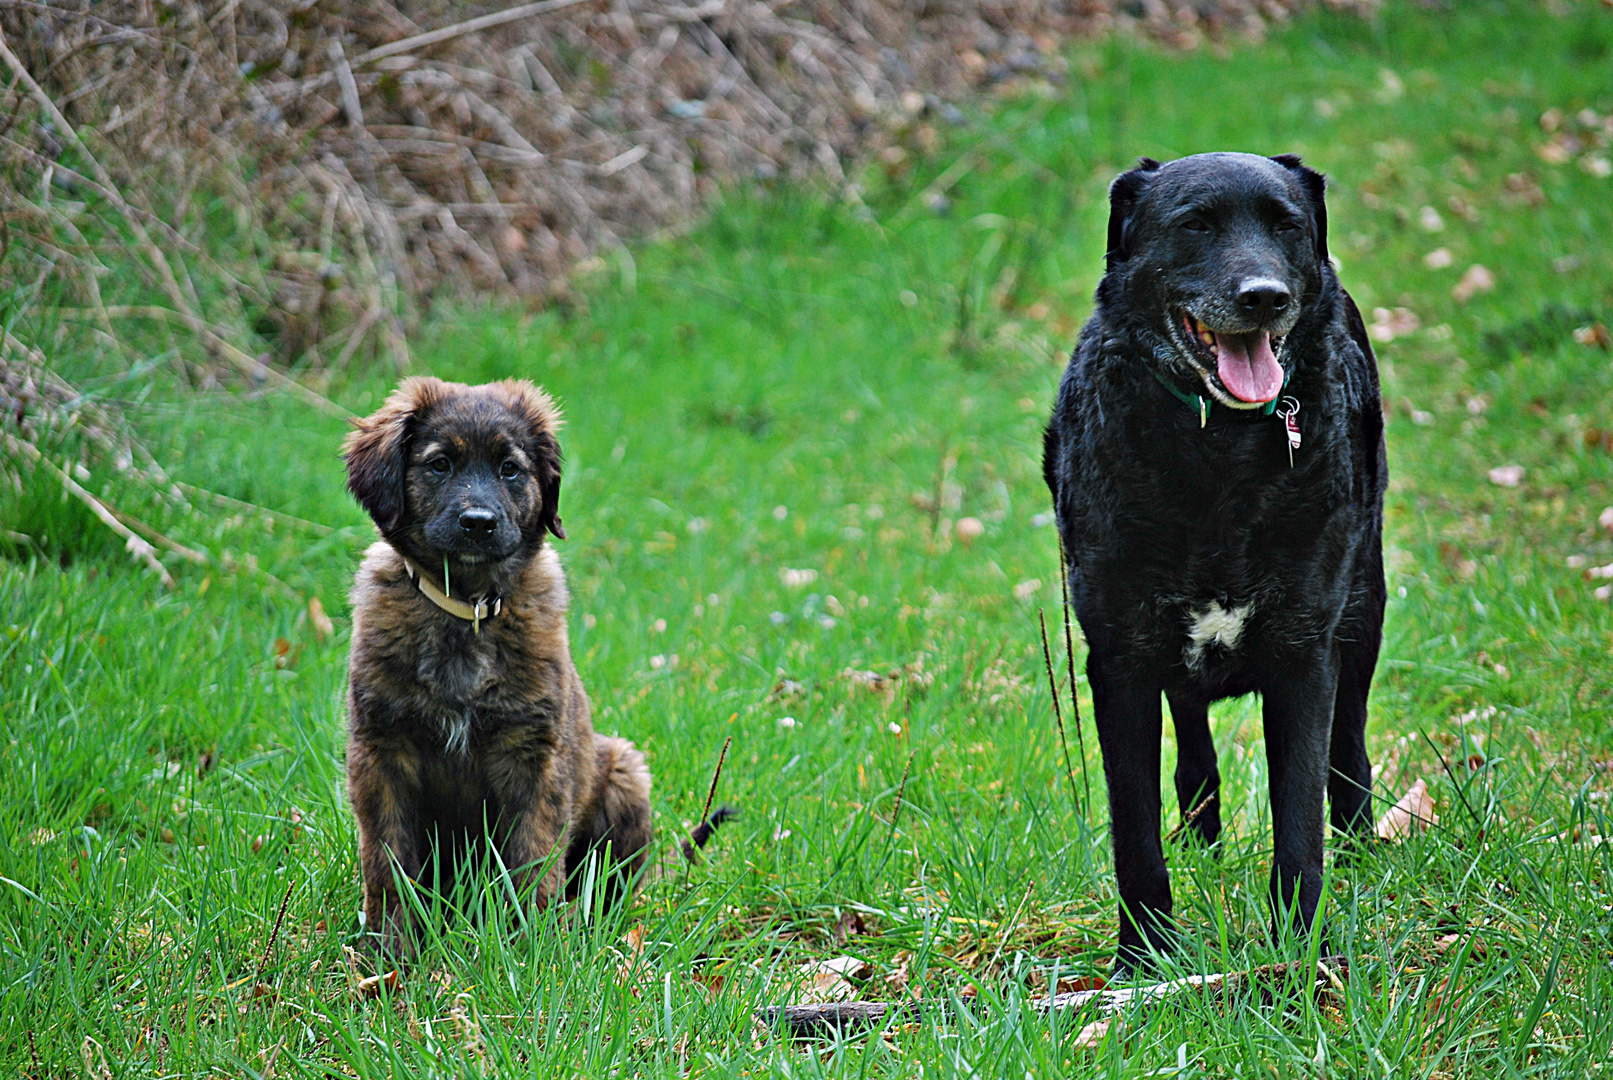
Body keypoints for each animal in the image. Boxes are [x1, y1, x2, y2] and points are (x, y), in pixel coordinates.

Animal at [341, 378, 648, 954]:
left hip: (625, 772)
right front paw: (390, 951)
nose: (478, 524)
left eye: (510, 468)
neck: (468, 610)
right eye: (439, 464)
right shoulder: (382, 751)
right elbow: (388, 861)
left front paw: (531, 948)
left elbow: (533, 859)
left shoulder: (534, 755)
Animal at [1045, 152, 1387, 973]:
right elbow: (1133, 832)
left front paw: (1296, 956)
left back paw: (1360, 846)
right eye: (1195, 224)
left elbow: (1298, 824)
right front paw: (1142, 961)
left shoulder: (1304, 649)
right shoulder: (1121, 658)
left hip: (1365, 606)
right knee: (1193, 740)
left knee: (1349, 747)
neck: (1219, 455)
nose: (1264, 297)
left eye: (1285, 224)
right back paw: (1200, 841)